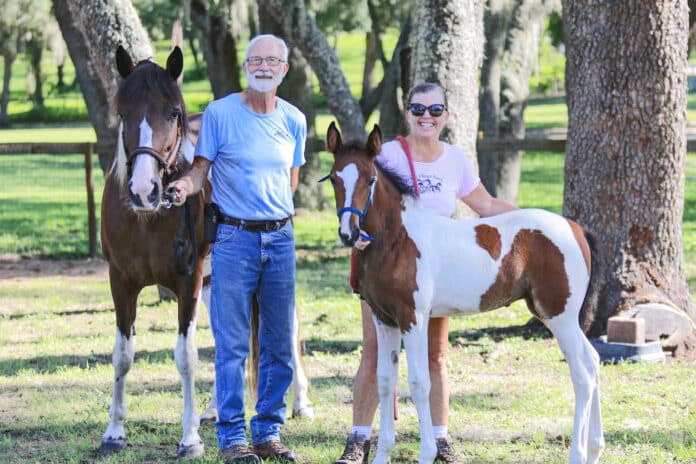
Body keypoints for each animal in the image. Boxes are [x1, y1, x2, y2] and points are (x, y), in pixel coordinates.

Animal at [324, 123, 600, 464]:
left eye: (370, 178)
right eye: (333, 177)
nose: (348, 234)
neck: (397, 240)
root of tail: (576, 229)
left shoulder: (413, 319)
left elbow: (419, 382)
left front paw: (427, 453)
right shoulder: (384, 319)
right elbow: (386, 381)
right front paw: (382, 455)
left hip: (559, 316)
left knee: (582, 372)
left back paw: (579, 452)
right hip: (558, 316)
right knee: (593, 361)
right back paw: (595, 448)